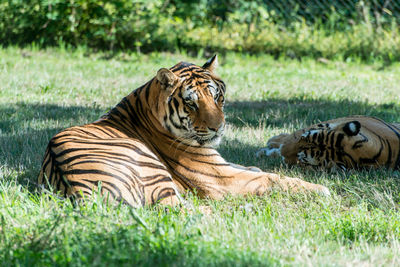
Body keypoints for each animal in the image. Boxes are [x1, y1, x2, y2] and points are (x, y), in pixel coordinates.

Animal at [37, 55, 328, 208]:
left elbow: (258, 170)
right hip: (153, 171)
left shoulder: (225, 165)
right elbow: (272, 178)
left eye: (217, 97)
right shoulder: (220, 176)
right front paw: (321, 189)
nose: (218, 127)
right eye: (191, 103)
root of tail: (79, 193)